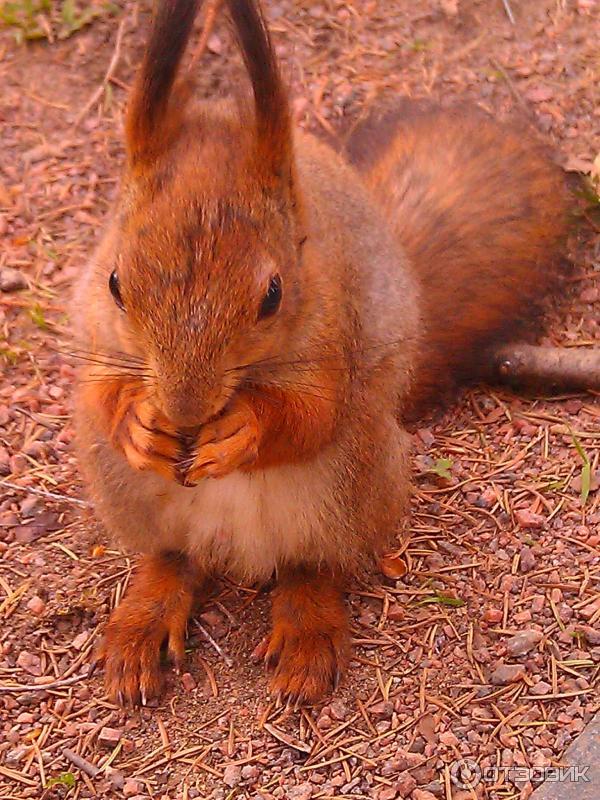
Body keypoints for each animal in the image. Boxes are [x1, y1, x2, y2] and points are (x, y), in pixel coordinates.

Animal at [74, 0, 568, 704]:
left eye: (273, 294)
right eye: (116, 281)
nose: (186, 407)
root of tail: (235, 550)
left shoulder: (335, 333)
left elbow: (311, 414)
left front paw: (243, 429)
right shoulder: (94, 330)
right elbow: (98, 391)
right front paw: (140, 423)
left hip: (351, 481)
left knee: (313, 563)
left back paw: (306, 636)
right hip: (121, 487)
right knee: (173, 556)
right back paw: (143, 621)